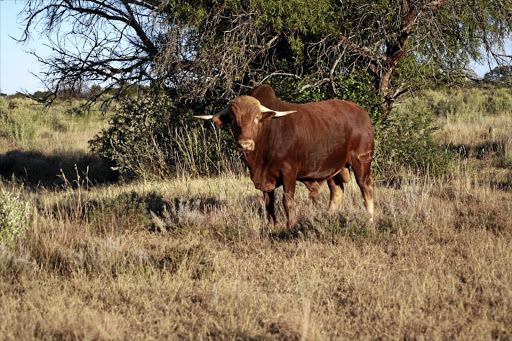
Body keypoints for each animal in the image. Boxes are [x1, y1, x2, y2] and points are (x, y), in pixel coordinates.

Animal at [194, 84, 374, 230]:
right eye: (232, 119)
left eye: (257, 118)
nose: (245, 145)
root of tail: (361, 111)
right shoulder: (265, 179)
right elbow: (269, 204)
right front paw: (272, 226)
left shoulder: (289, 172)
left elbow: (287, 202)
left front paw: (291, 226)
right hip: (334, 167)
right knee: (336, 191)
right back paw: (327, 218)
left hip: (361, 160)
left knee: (366, 189)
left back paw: (370, 219)